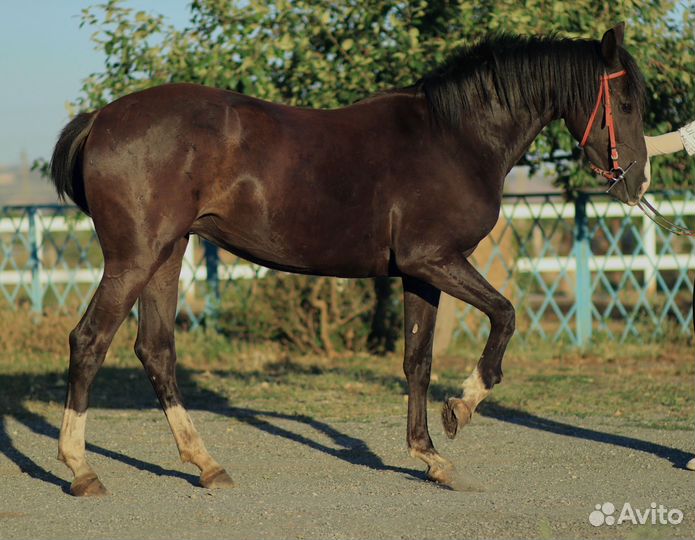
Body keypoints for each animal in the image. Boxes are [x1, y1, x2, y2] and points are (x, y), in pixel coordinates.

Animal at [49, 23, 648, 496]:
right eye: (625, 103)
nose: (637, 182)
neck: (455, 137)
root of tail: (101, 119)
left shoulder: (419, 274)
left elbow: (417, 362)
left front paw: (430, 457)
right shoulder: (436, 260)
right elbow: (505, 315)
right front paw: (461, 408)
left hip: (167, 257)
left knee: (156, 351)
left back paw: (206, 465)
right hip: (134, 259)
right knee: (89, 341)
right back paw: (81, 470)